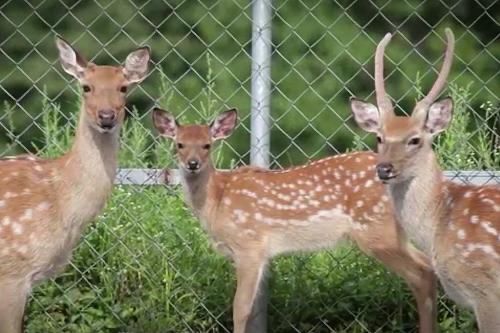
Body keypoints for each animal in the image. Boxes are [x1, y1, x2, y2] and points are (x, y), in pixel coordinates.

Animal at [151, 107, 438, 332]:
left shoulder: (249, 246)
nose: (192, 164)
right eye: (179, 144)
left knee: (422, 273)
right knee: (427, 266)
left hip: (377, 230)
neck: (217, 200)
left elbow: (240, 309)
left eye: (207, 145)